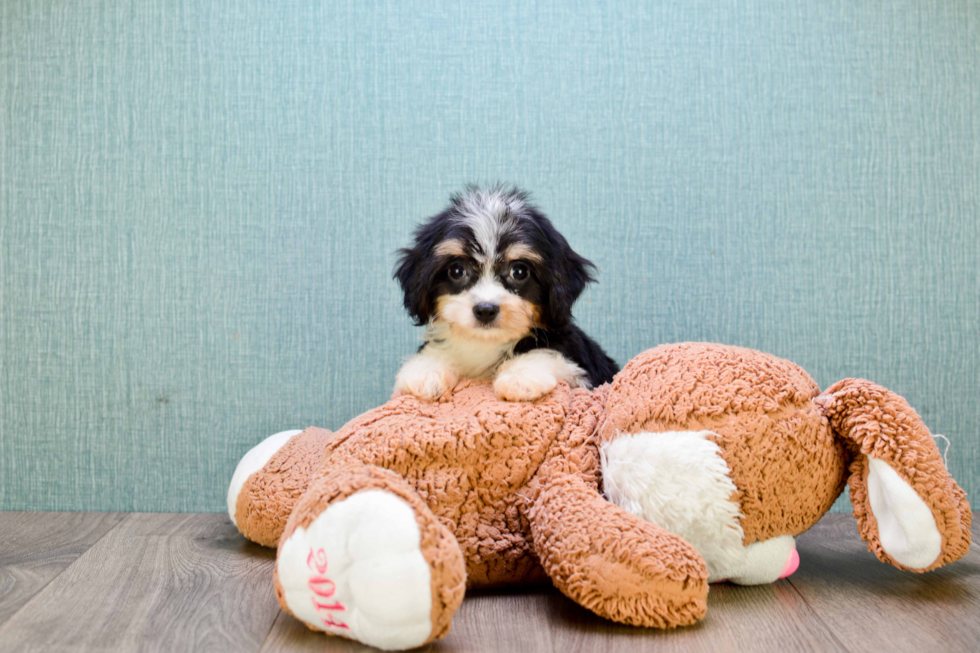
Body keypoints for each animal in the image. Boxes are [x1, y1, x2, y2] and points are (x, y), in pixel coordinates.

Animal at [392, 186, 616, 402]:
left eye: (519, 271)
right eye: (456, 270)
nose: (485, 310)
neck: (486, 343)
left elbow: (547, 352)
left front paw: (521, 377)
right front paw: (426, 371)